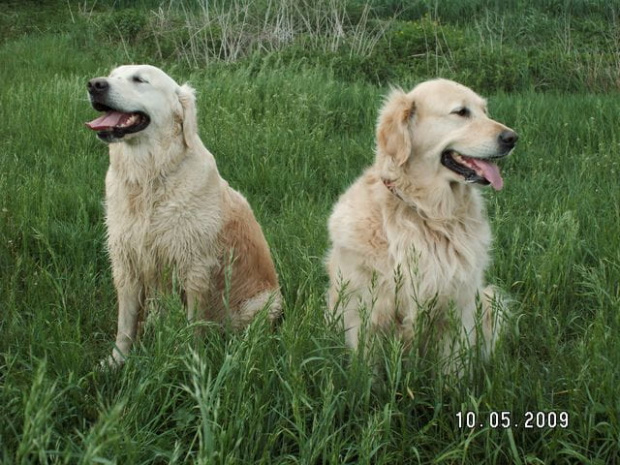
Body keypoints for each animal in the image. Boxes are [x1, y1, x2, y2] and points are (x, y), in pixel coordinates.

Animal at [86, 63, 280, 364]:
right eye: (111, 74)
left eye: (139, 79)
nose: (94, 85)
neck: (149, 178)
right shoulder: (126, 262)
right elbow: (125, 325)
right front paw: (117, 361)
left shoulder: (194, 267)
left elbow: (193, 324)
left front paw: (190, 361)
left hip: (264, 304)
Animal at [324, 79, 520, 370]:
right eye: (461, 112)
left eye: (485, 111)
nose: (512, 138)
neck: (428, 214)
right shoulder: (365, 311)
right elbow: (366, 372)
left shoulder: (459, 309)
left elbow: (453, 370)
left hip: (487, 300)